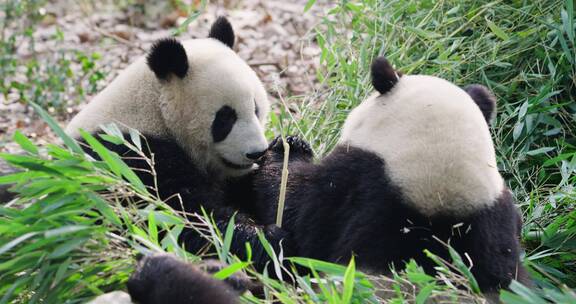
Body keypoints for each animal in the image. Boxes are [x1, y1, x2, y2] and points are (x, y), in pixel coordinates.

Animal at [65, 16, 294, 270]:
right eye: (225, 118)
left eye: (256, 108)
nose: (256, 153)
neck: (155, 110)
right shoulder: (129, 159)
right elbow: (181, 217)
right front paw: (268, 239)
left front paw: (287, 152)